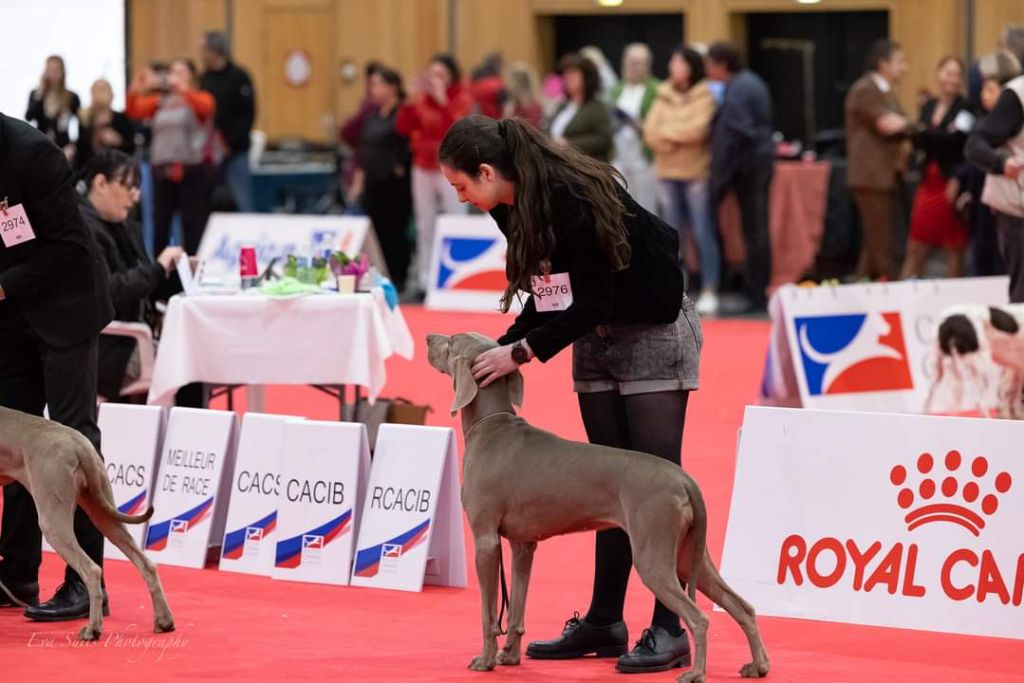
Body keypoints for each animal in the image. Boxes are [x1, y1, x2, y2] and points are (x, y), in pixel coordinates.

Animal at [0, 405, 174, 643]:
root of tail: (80, 444)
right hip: (102, 508)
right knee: (146, 563)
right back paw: (164, 621)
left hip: (52, 512)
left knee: (91, 569)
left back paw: (92, 629)